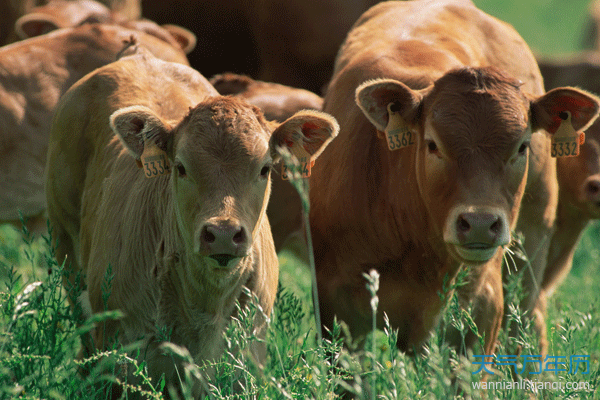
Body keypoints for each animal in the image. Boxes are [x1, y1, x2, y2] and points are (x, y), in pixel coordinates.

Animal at [43, 50, 338, 396]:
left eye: (265, 168)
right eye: (181, 167)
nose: (223, 233)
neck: (205, 305)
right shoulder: (122, 359)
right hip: (66, 249)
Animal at [308, 0, 600, 356]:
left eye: (523, 145)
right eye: (433, 144)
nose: (479, 223)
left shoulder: (481, 311)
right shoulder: (338, 308)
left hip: (530, 248)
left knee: (527, 326)